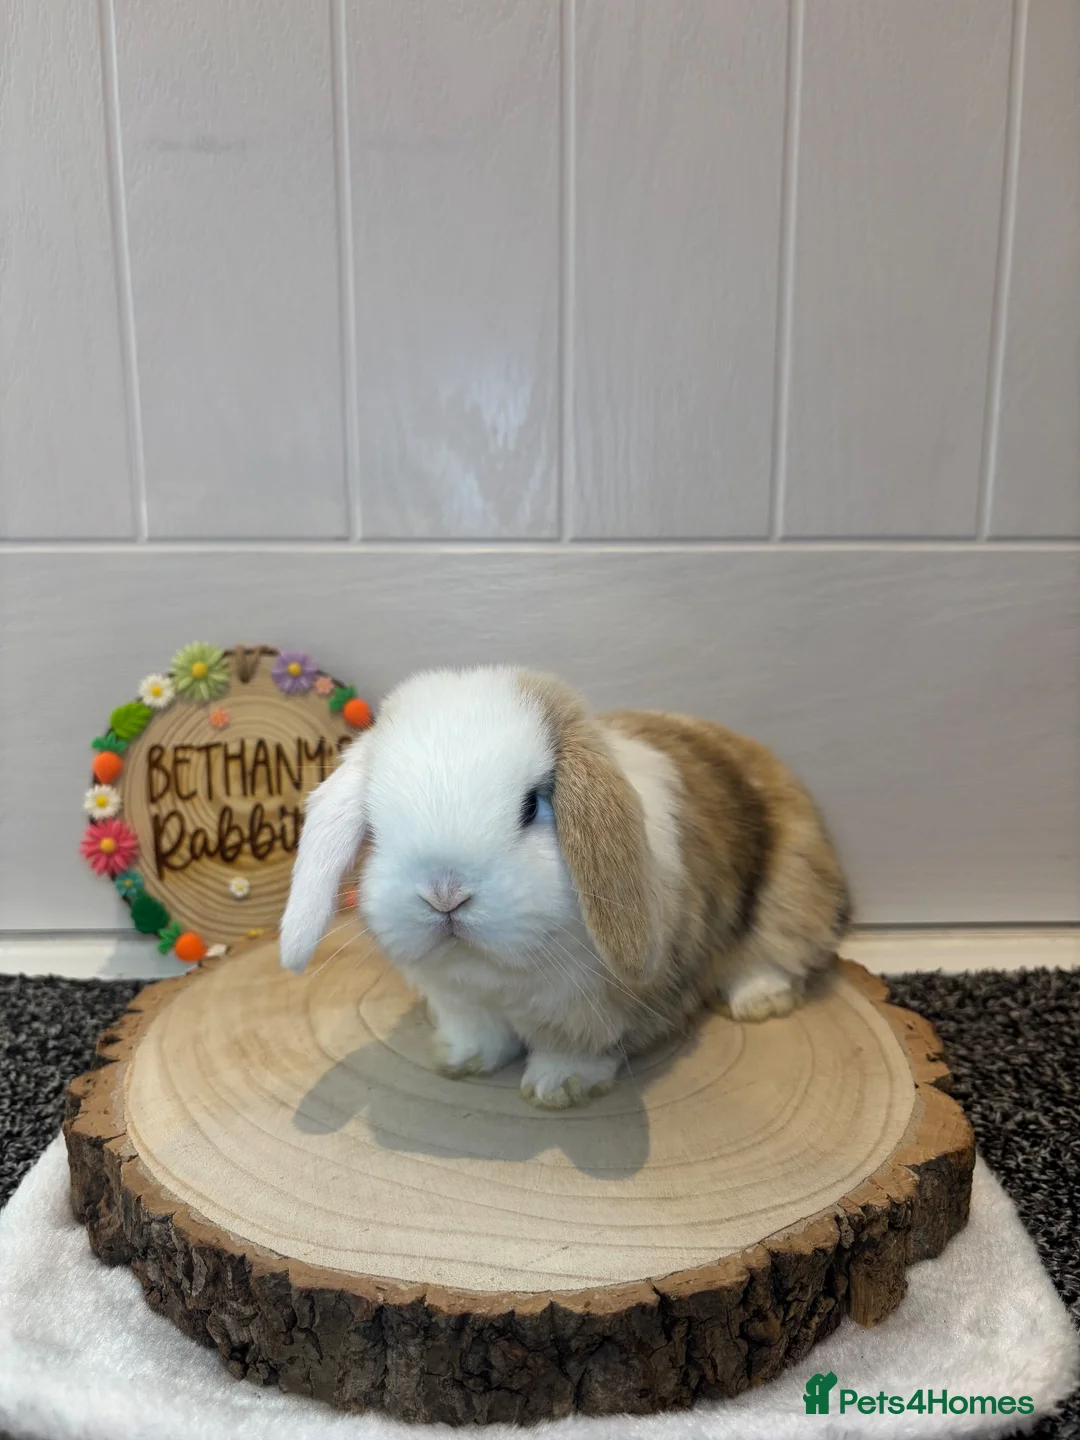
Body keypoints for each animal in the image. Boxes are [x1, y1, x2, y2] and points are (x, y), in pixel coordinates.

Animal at [279, 666, 850, 1109]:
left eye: (532, 805)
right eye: (375, 821)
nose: (445, 895)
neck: (497, 974)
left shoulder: (597, 1011)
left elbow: (577, 1051)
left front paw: (557, 1087)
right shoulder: (462, 1001)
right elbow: (479, 1035)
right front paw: (461, 1060)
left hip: (791, 888)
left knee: (775, 955)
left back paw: (758, 1001)